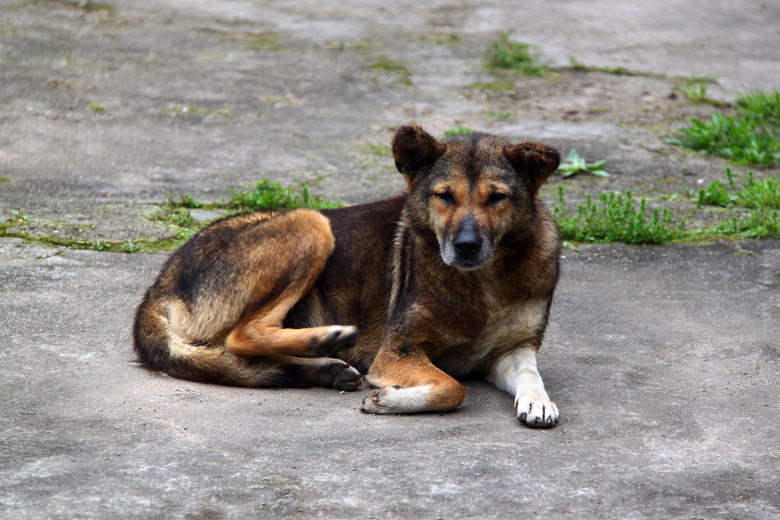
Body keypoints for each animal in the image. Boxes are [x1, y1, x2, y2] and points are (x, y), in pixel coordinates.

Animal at [133, 124, 560, 428]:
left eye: (497, 198)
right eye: (444, 196)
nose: (466, 246)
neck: (485, 281)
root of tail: (161, 282)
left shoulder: (513, 349)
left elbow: (530, 372)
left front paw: (539, 401)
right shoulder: (396, 351)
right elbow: (453, 389)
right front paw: (389, 400)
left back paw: (322, 367)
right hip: (312, 223)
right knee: (241, 337)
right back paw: (324, 341)